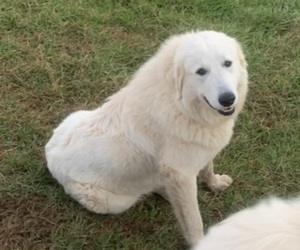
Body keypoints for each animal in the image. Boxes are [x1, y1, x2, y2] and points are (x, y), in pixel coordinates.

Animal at [45, 29, 248, 246]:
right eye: (201, 71)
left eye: (227, 63)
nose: (227, 99)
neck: (181, 106)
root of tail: (49, 154)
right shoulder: (181, 174)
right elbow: (193, 220)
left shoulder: (199, 151)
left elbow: (207, 168)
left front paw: (214, 184)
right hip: (116, 203)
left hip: (76, 115)